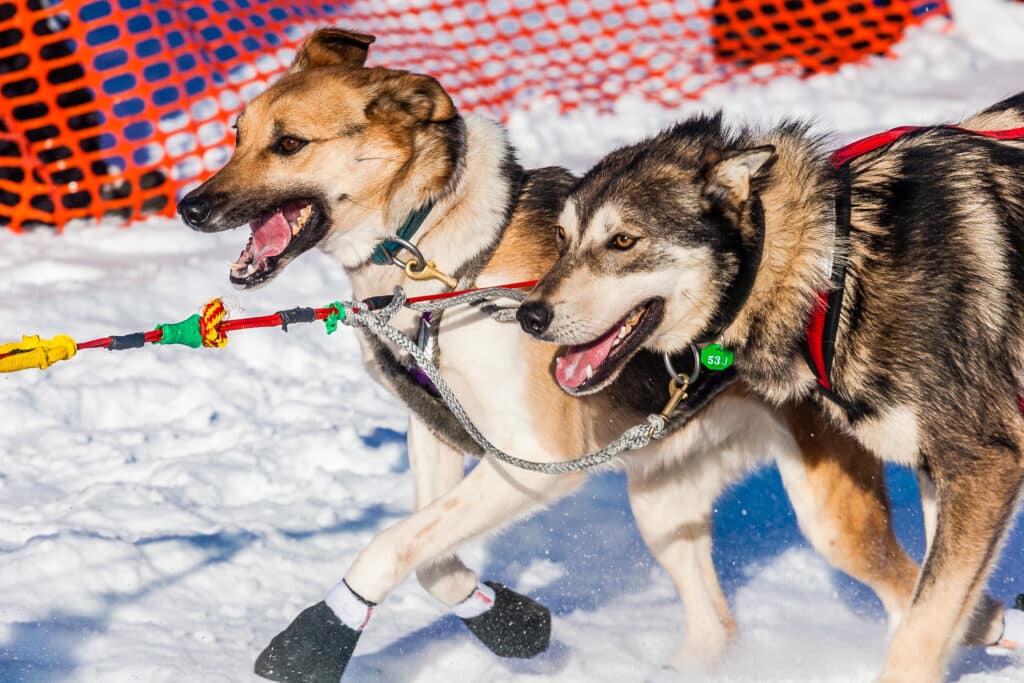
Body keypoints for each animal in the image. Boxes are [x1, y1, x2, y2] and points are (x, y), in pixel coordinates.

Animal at [524, 97, 1024, 683]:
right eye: (561, 238)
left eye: (623, 240)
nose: (529, 315)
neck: (834, 268)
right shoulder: (937, 471)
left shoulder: (982, 465)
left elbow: (923, 625)